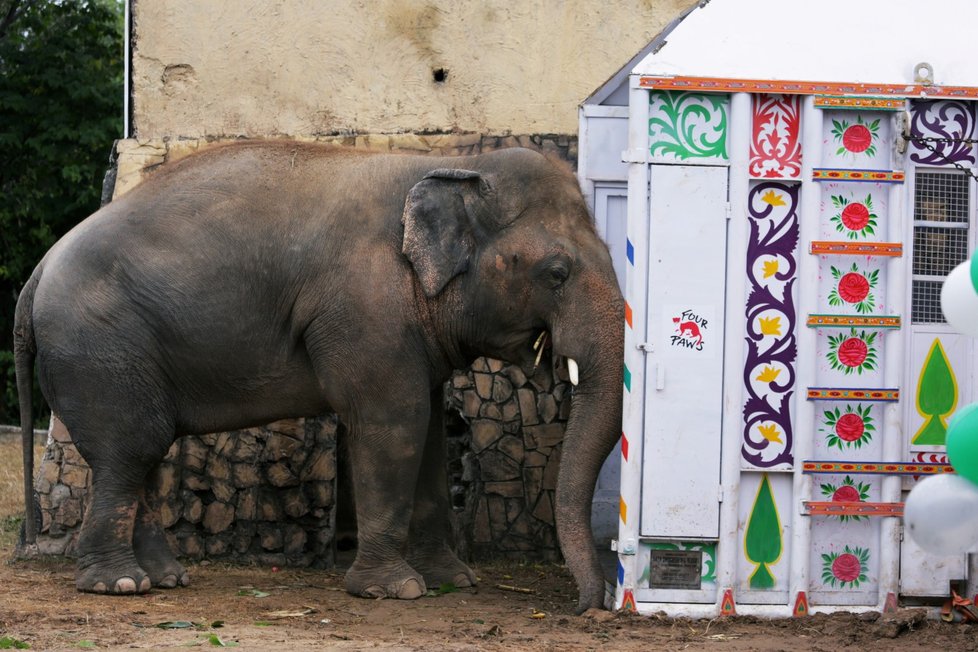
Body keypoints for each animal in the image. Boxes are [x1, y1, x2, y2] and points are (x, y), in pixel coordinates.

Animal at [13, 140, 624, 612]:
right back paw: (118, 585)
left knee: (140, 452)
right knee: (130, 449)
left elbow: (428, 431)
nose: (586, 607)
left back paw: (166, 578)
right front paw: (393, 591)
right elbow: (394, 422)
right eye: (556, 273)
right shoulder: (364, 308)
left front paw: (452, 582)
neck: (454, 164)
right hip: (100, 347)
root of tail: (37, 271)